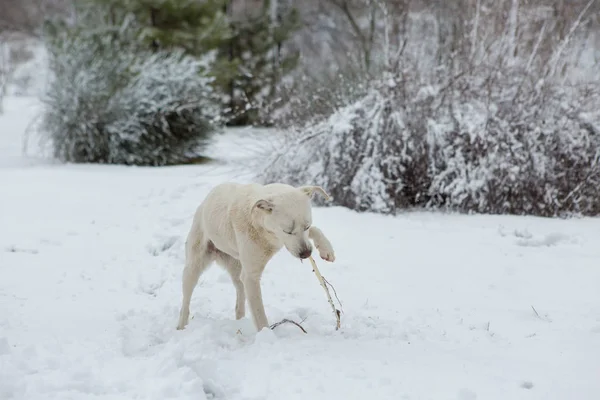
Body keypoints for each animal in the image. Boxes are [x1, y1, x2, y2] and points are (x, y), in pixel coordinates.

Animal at [177, 182, 338, 332]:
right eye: (287, 231)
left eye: (306, 226)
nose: (306, 253)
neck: (265, 231)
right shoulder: (251, 277)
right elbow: (260, 316)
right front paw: (267, 336)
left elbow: (315, 230)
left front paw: (326, 249)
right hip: (193, 267)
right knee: (185, 302)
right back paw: (181, 326)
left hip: (237, 270)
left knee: (239, 298)